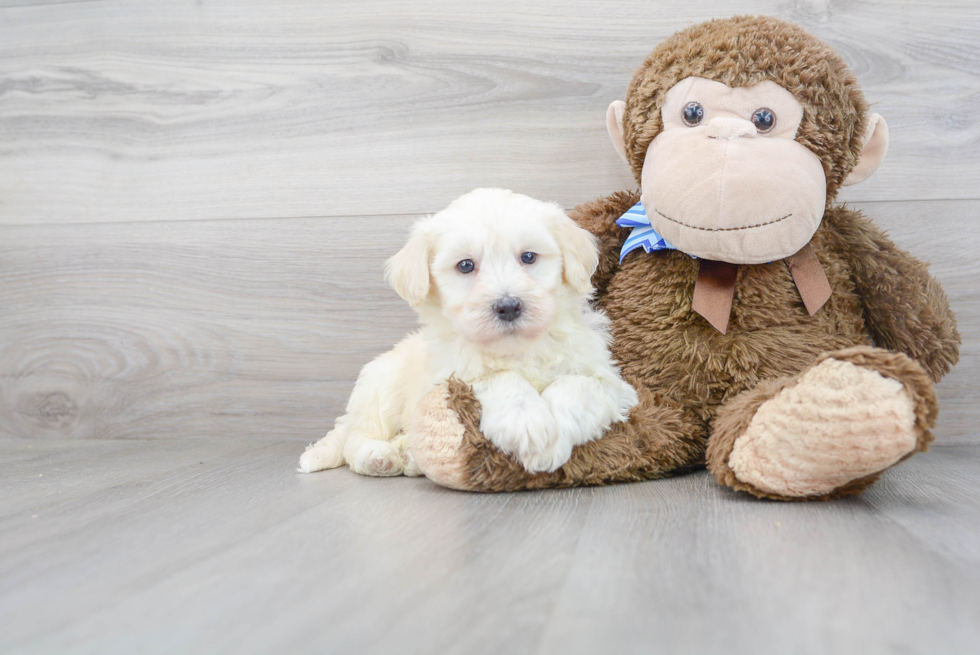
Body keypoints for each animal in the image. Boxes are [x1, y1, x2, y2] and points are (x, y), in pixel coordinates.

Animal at [298, 187, 636, 480]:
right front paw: (528, 424)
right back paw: (380, 456)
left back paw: (408, 457)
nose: (509, 306)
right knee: (358, 437)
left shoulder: (610, 382)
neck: (516, 348)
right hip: (381, 387)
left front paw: (552, 436)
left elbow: (577, 386)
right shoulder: (451, 378)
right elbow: (499, 379)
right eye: (465, 265)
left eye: (528, 257)